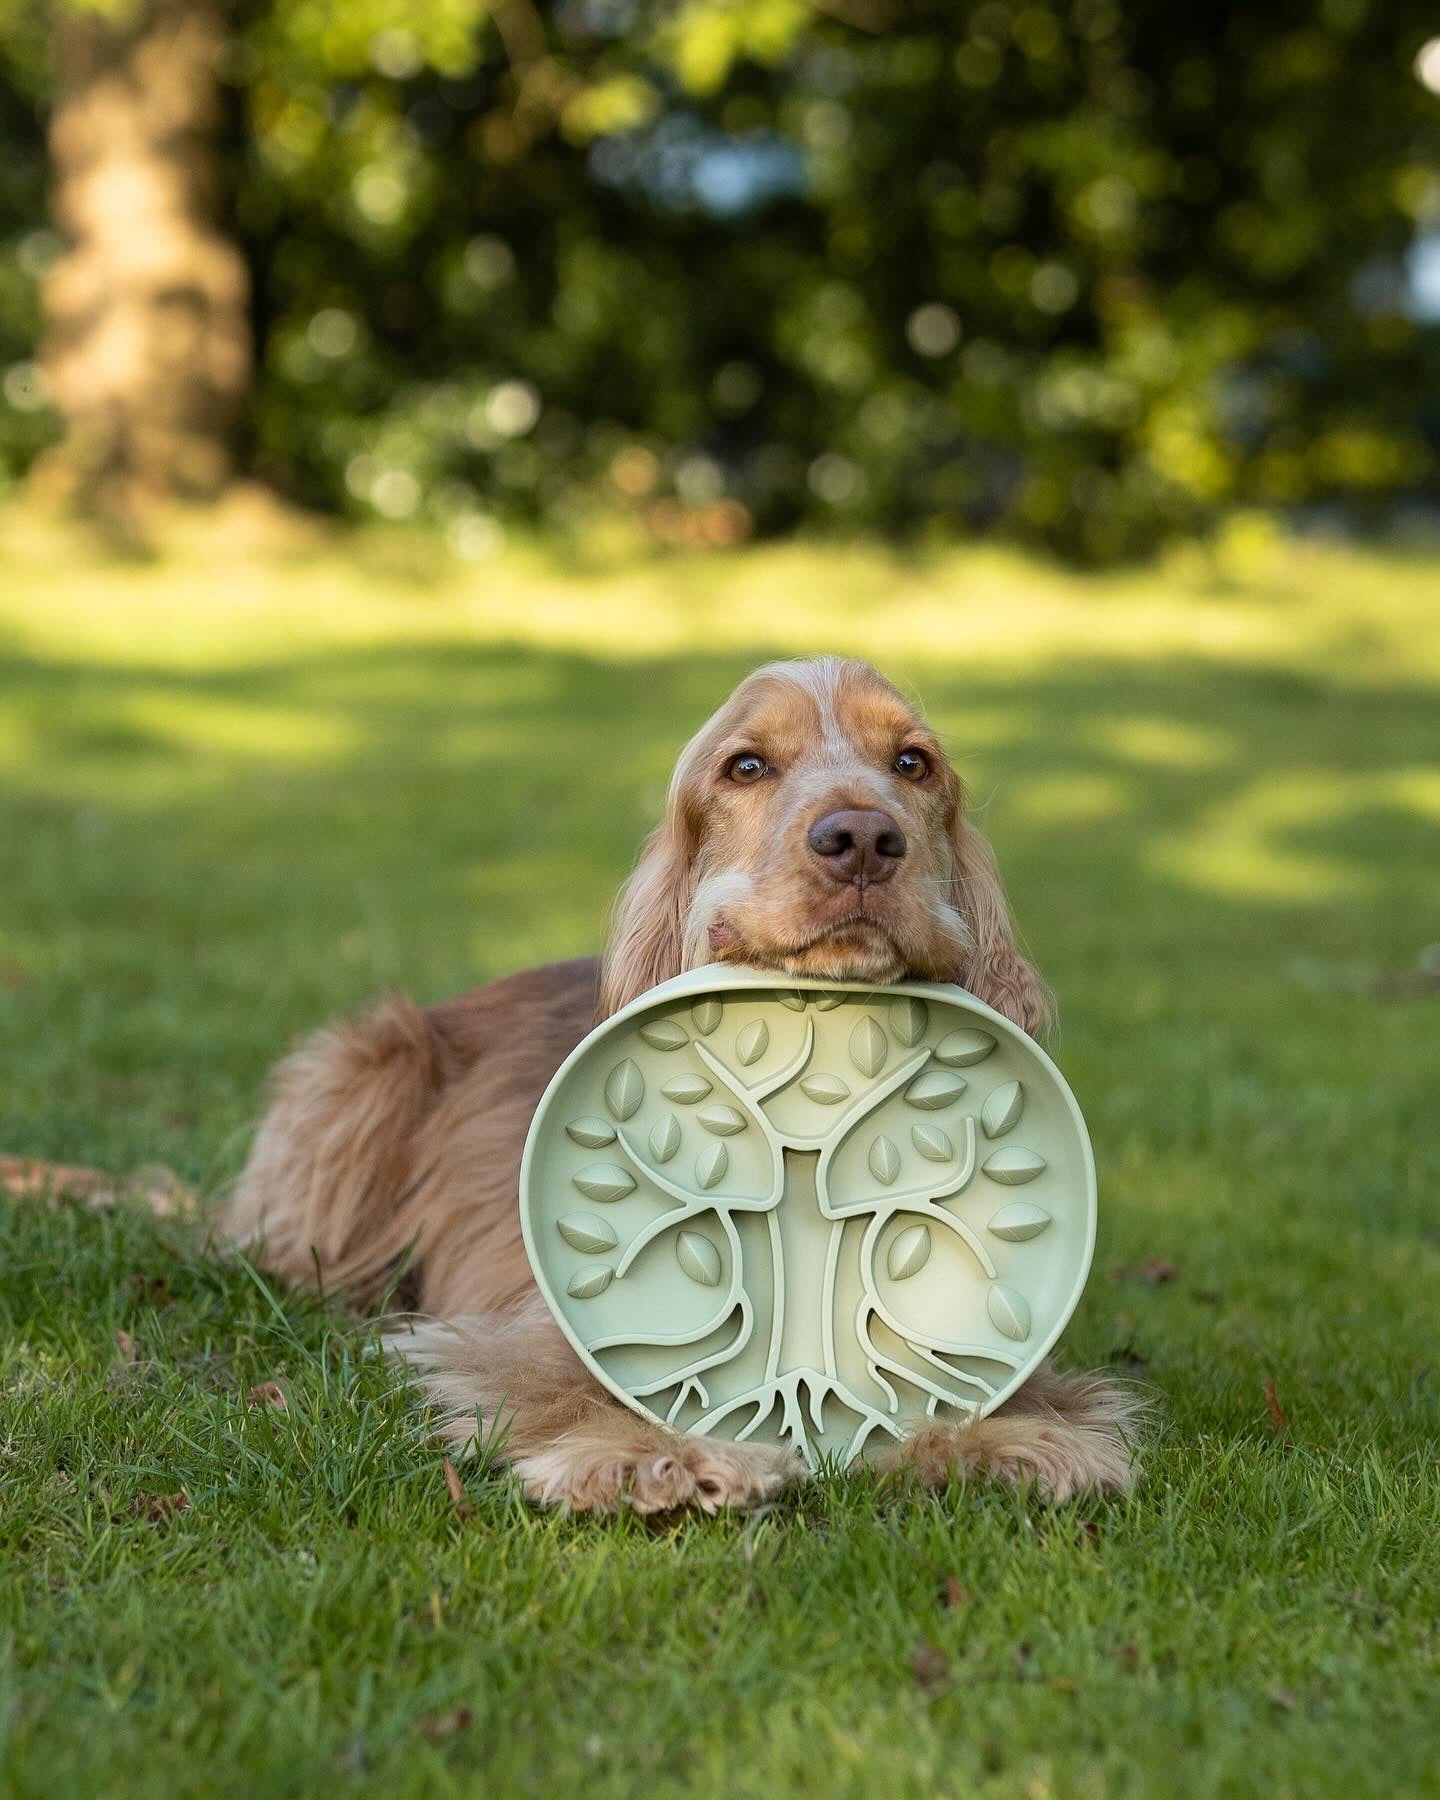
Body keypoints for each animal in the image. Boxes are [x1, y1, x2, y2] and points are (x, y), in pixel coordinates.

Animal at [225, 655, 1144, 1512]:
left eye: (914, 763)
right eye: (746, 766)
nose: (861, 839)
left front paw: (1002, 1440)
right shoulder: (517, 1321)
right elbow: (583, 1376)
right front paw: (654, 1454)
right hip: (369, 1067)